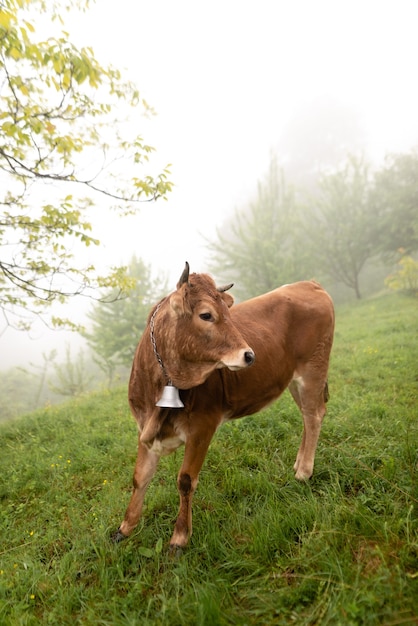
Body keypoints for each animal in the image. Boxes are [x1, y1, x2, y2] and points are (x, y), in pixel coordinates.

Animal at [112, 260, 334, 548]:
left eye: (228, 313)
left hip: (313, 369)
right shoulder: (144, 430)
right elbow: (140, 478)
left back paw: (304, 472)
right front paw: (125, 528)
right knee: (307, 415)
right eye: (206, 315)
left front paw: (179, 538)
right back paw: (299, 464)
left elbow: (185, 480)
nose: (249, 355)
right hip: (293, 379)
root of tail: (309, 283)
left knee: (314, 414)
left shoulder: (202, 427)